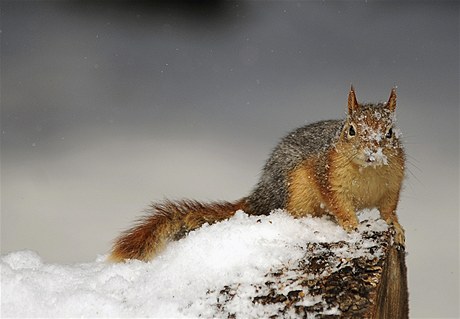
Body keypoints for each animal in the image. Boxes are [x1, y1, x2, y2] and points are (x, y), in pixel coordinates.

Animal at [109, 87, 404, 262]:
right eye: (351, 130)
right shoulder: (328, 178)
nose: (372, 150)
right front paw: (353, 225)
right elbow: (340, 205)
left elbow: (388, 210)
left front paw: (396, 229)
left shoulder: (392, 184)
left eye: (390, 132)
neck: (367, 171)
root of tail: (261, 195)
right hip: (294, 190)